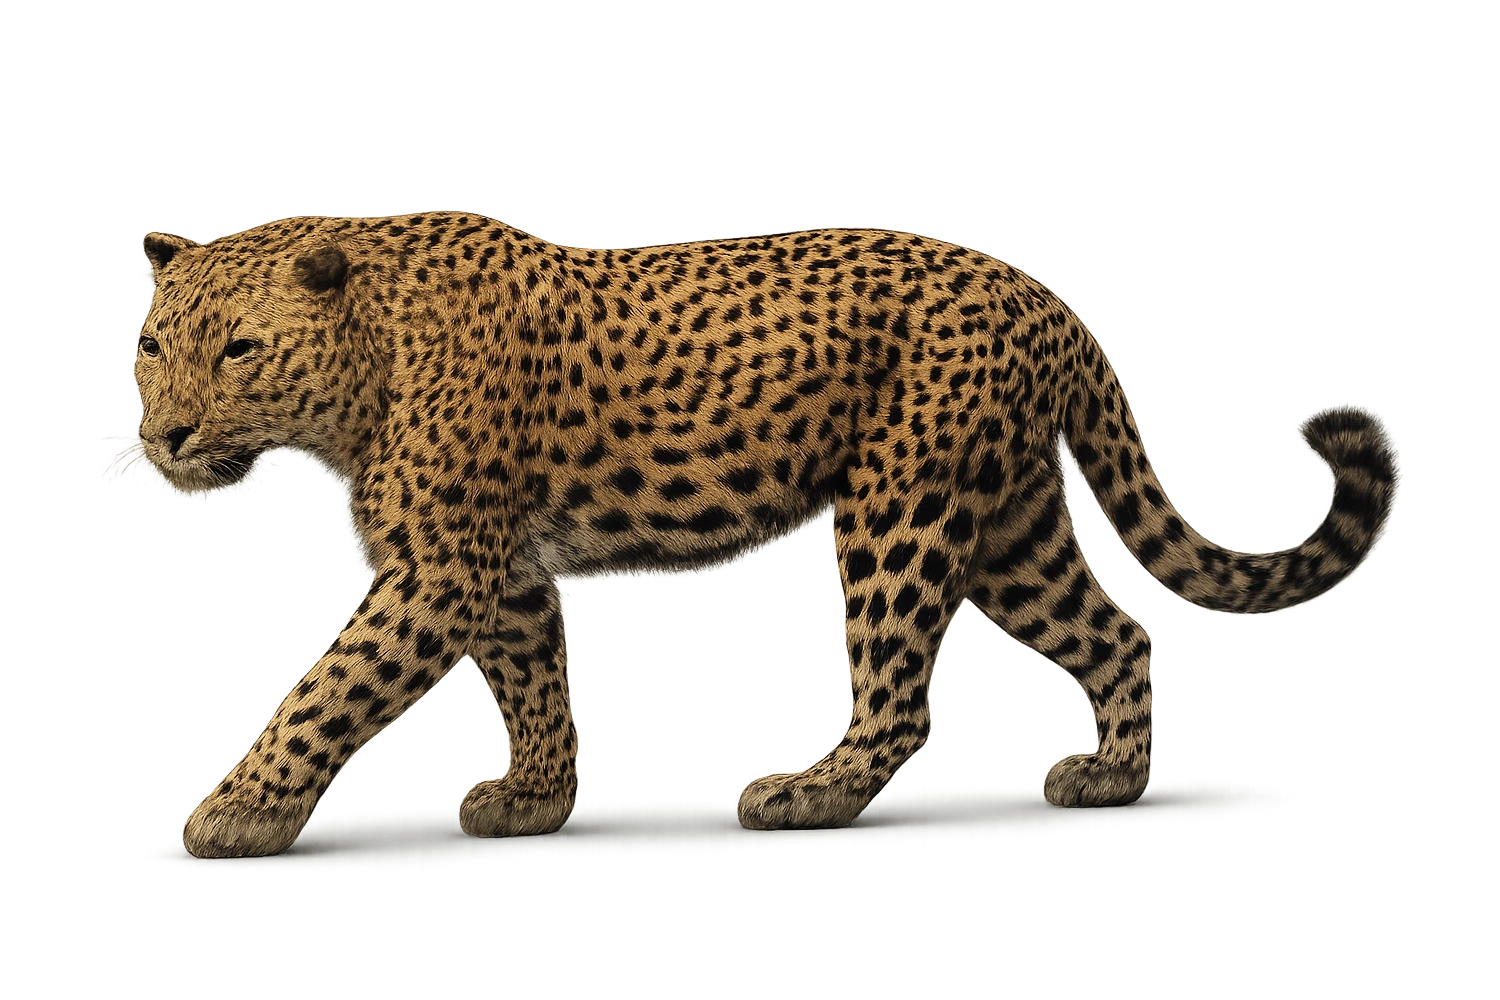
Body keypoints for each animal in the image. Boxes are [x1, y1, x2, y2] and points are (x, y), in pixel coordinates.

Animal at [136, 212, 1396, 859]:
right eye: (152, 343)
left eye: (239, 347)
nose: (161, 434)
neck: (359, 381)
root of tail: (1049, 296)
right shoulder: (498, 570)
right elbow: (531, 674)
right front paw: (536, 797)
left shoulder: (440, 569)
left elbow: (325, 683)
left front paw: (238, 808)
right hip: (1011, 523)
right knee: (1117, 629)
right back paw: (1114, 775)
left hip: (905, 504)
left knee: (898, 689)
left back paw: (812, 790)